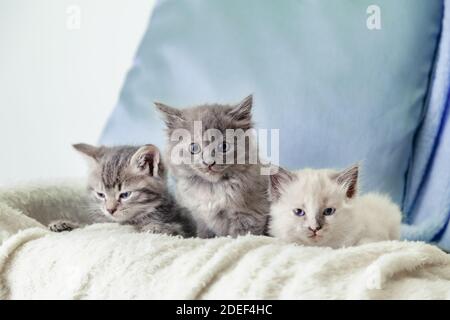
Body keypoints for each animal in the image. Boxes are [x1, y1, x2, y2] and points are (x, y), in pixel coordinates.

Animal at [48, 143, 196, 238]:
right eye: (101, 194)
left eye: (125, 195)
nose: (110, 210)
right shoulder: (102, 222)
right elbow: (89, 225)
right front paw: (64, 224)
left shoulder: (186, 227)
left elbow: (175, 229)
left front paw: (155, 227)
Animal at [155, 95, 268, 238]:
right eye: (194, 147)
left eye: (223, 146)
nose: (209, 162)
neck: (212, 189)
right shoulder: (200, 218)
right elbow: (204, 234)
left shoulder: (249, 214)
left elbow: (241, 235)